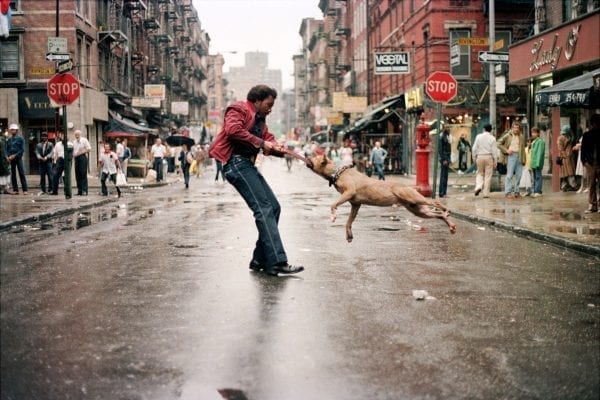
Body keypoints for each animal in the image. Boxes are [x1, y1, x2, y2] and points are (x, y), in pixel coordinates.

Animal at [310, 152, 454, 241]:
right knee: (438, 215)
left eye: (314, 157)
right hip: (418, 210)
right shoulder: (355, 205)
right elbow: (349, 222)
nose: (306, 155)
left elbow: (333, 204)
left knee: (435, 201)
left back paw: (446, 209)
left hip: (413, 197)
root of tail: (410, 187)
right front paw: (349, 235)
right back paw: (451, 225)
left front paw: (333, 216)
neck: (336, 172)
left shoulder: (349, 192)